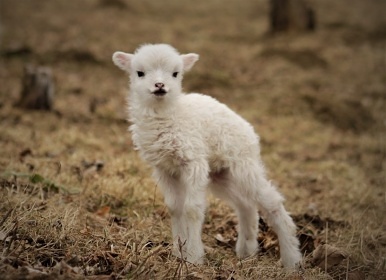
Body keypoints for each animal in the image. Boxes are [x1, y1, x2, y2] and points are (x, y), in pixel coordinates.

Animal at [111, 43, 302, 270]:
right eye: (139, 73)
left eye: (176, 73)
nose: (159, 85)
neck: (169, 115)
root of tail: (249, 130)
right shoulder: (164, 168)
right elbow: (175, 208)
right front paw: (178, 252)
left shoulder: (194, 161)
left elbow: (192, 209)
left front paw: (193, 257)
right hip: (221, 174)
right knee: (246, 204)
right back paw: (246, 251)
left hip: (243, 164)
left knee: (272, 202)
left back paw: (292, 259)